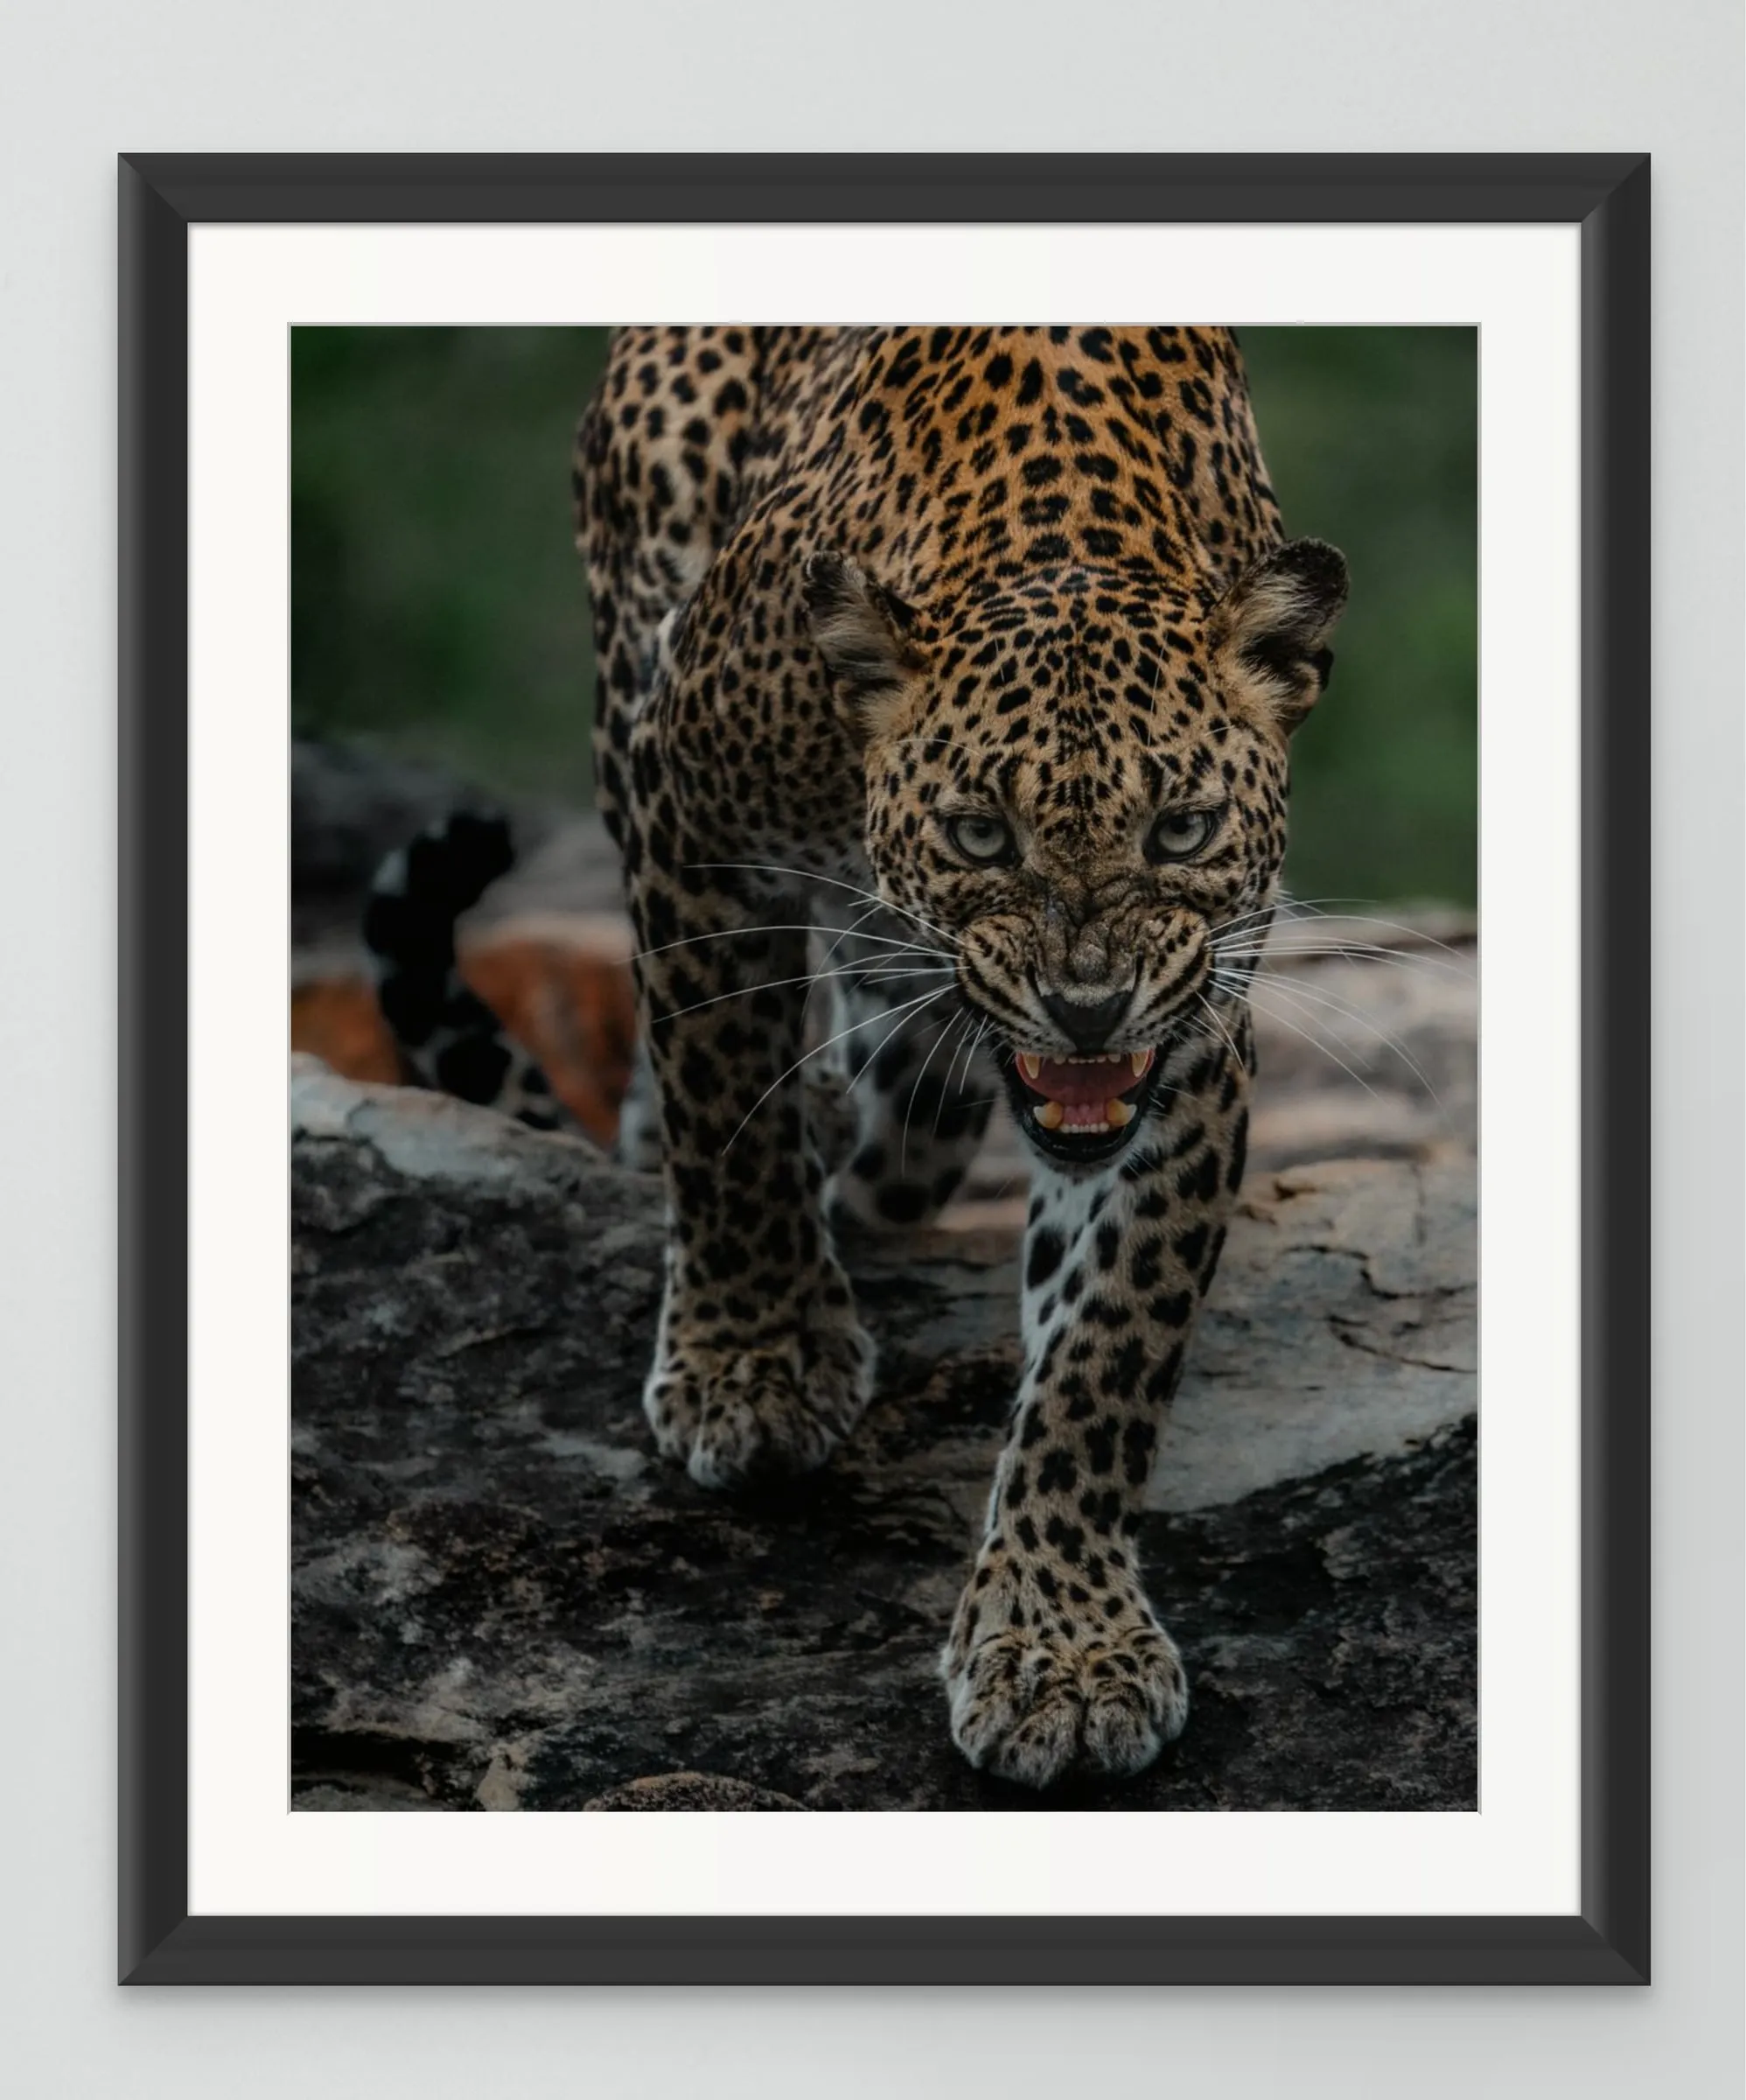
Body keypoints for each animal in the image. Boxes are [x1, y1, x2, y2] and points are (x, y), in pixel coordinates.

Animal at [369, 325, 1346, 1789]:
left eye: (1181, 829)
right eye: (979, 833)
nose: (1088, 1009)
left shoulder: (1194, 1027)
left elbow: (1110, 1341)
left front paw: (1063, 1644)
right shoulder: (693, 823)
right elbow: (723, 1100)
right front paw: (757, 1363)